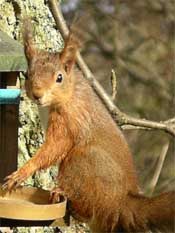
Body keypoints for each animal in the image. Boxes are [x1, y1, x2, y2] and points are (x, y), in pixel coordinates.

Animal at [3, 19, 175, 231]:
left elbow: (55, 147)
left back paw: (62, 193)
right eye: (27, 75)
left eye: (59, 77)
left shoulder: (69, 120)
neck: (68, 94)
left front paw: (22, 172)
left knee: (85, 204)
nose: (37, 95)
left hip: (83, 161)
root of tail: (121, 201)